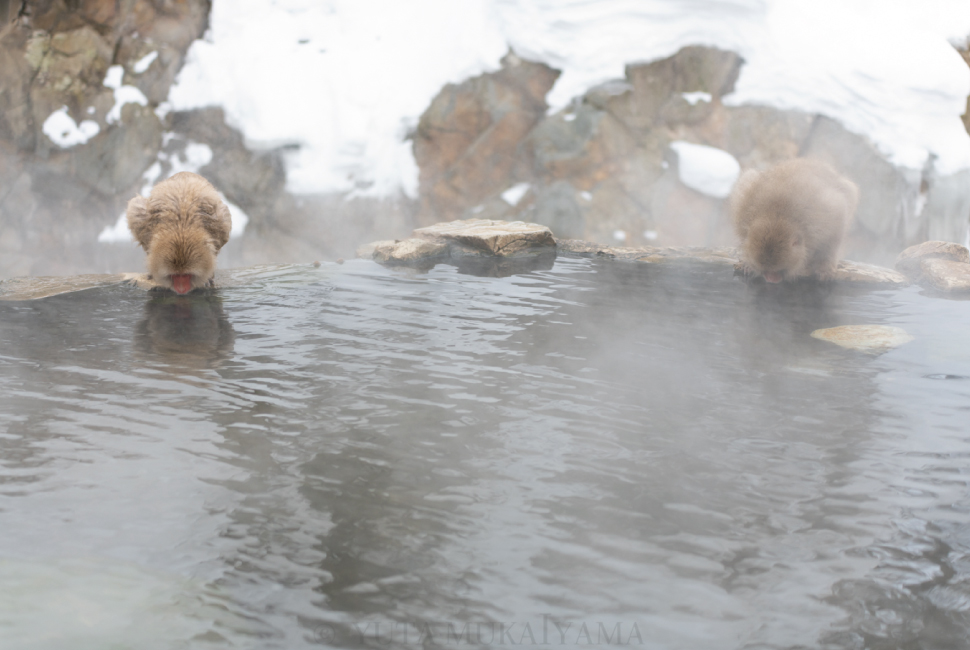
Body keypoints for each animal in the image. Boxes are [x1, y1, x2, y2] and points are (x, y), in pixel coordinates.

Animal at [728, 158, 860, 282]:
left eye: (778, 270)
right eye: (765, 270)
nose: (771, 279)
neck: (776, 217)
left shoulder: (827, 214)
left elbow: (836, 229)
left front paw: (824, 266)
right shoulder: (743, 214)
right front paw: (747, 264)